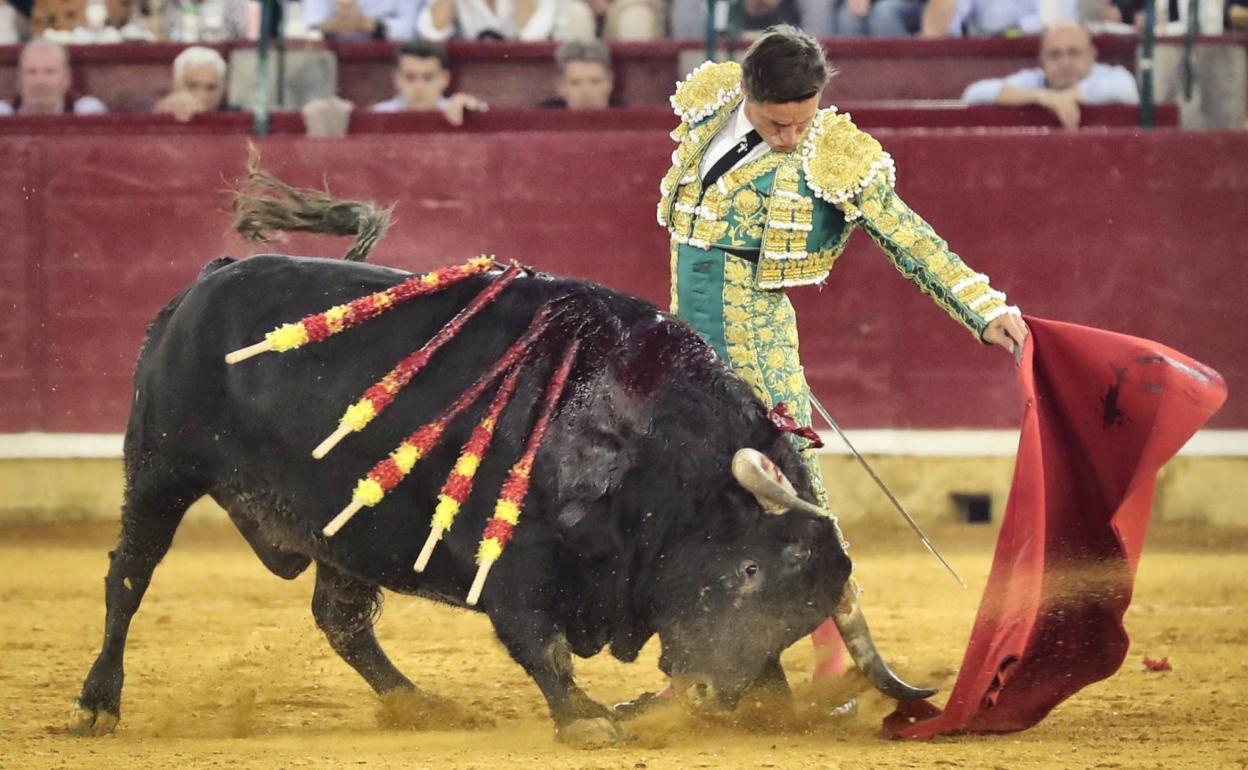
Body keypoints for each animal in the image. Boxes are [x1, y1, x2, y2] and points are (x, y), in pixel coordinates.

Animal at [65, 255, 928, 743]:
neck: (646, 446)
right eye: (751, 572)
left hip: (340, 524)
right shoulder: (520, 565)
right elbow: (538, 643)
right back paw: (97, 705)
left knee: (341, 620)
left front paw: (761, 703)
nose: (711, 697)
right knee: (127, 579)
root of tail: (205, 282)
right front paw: (587, 720)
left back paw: (419, 706)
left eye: (799, 607)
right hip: (161, 470)